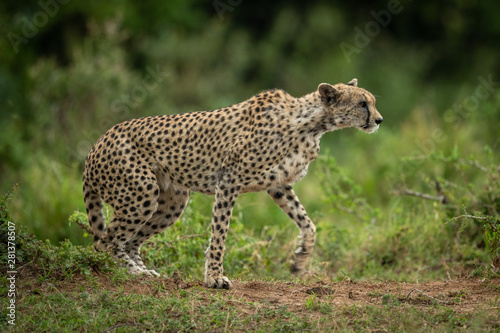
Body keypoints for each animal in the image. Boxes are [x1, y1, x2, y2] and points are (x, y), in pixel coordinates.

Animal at [83, 78, 382, 288]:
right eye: (362, 104)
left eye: (372, 102)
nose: (379, 120)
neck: (311, 125)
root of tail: (95, 144)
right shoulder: (229, 179)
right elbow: (220, 233)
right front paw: (214, 278)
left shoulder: (278, 186)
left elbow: (308, 223)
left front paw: (300, 261)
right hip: (141, 194)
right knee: (105, 243)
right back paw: (131, 272)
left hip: (171, 203)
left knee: (129, 241)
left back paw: (144, 272)